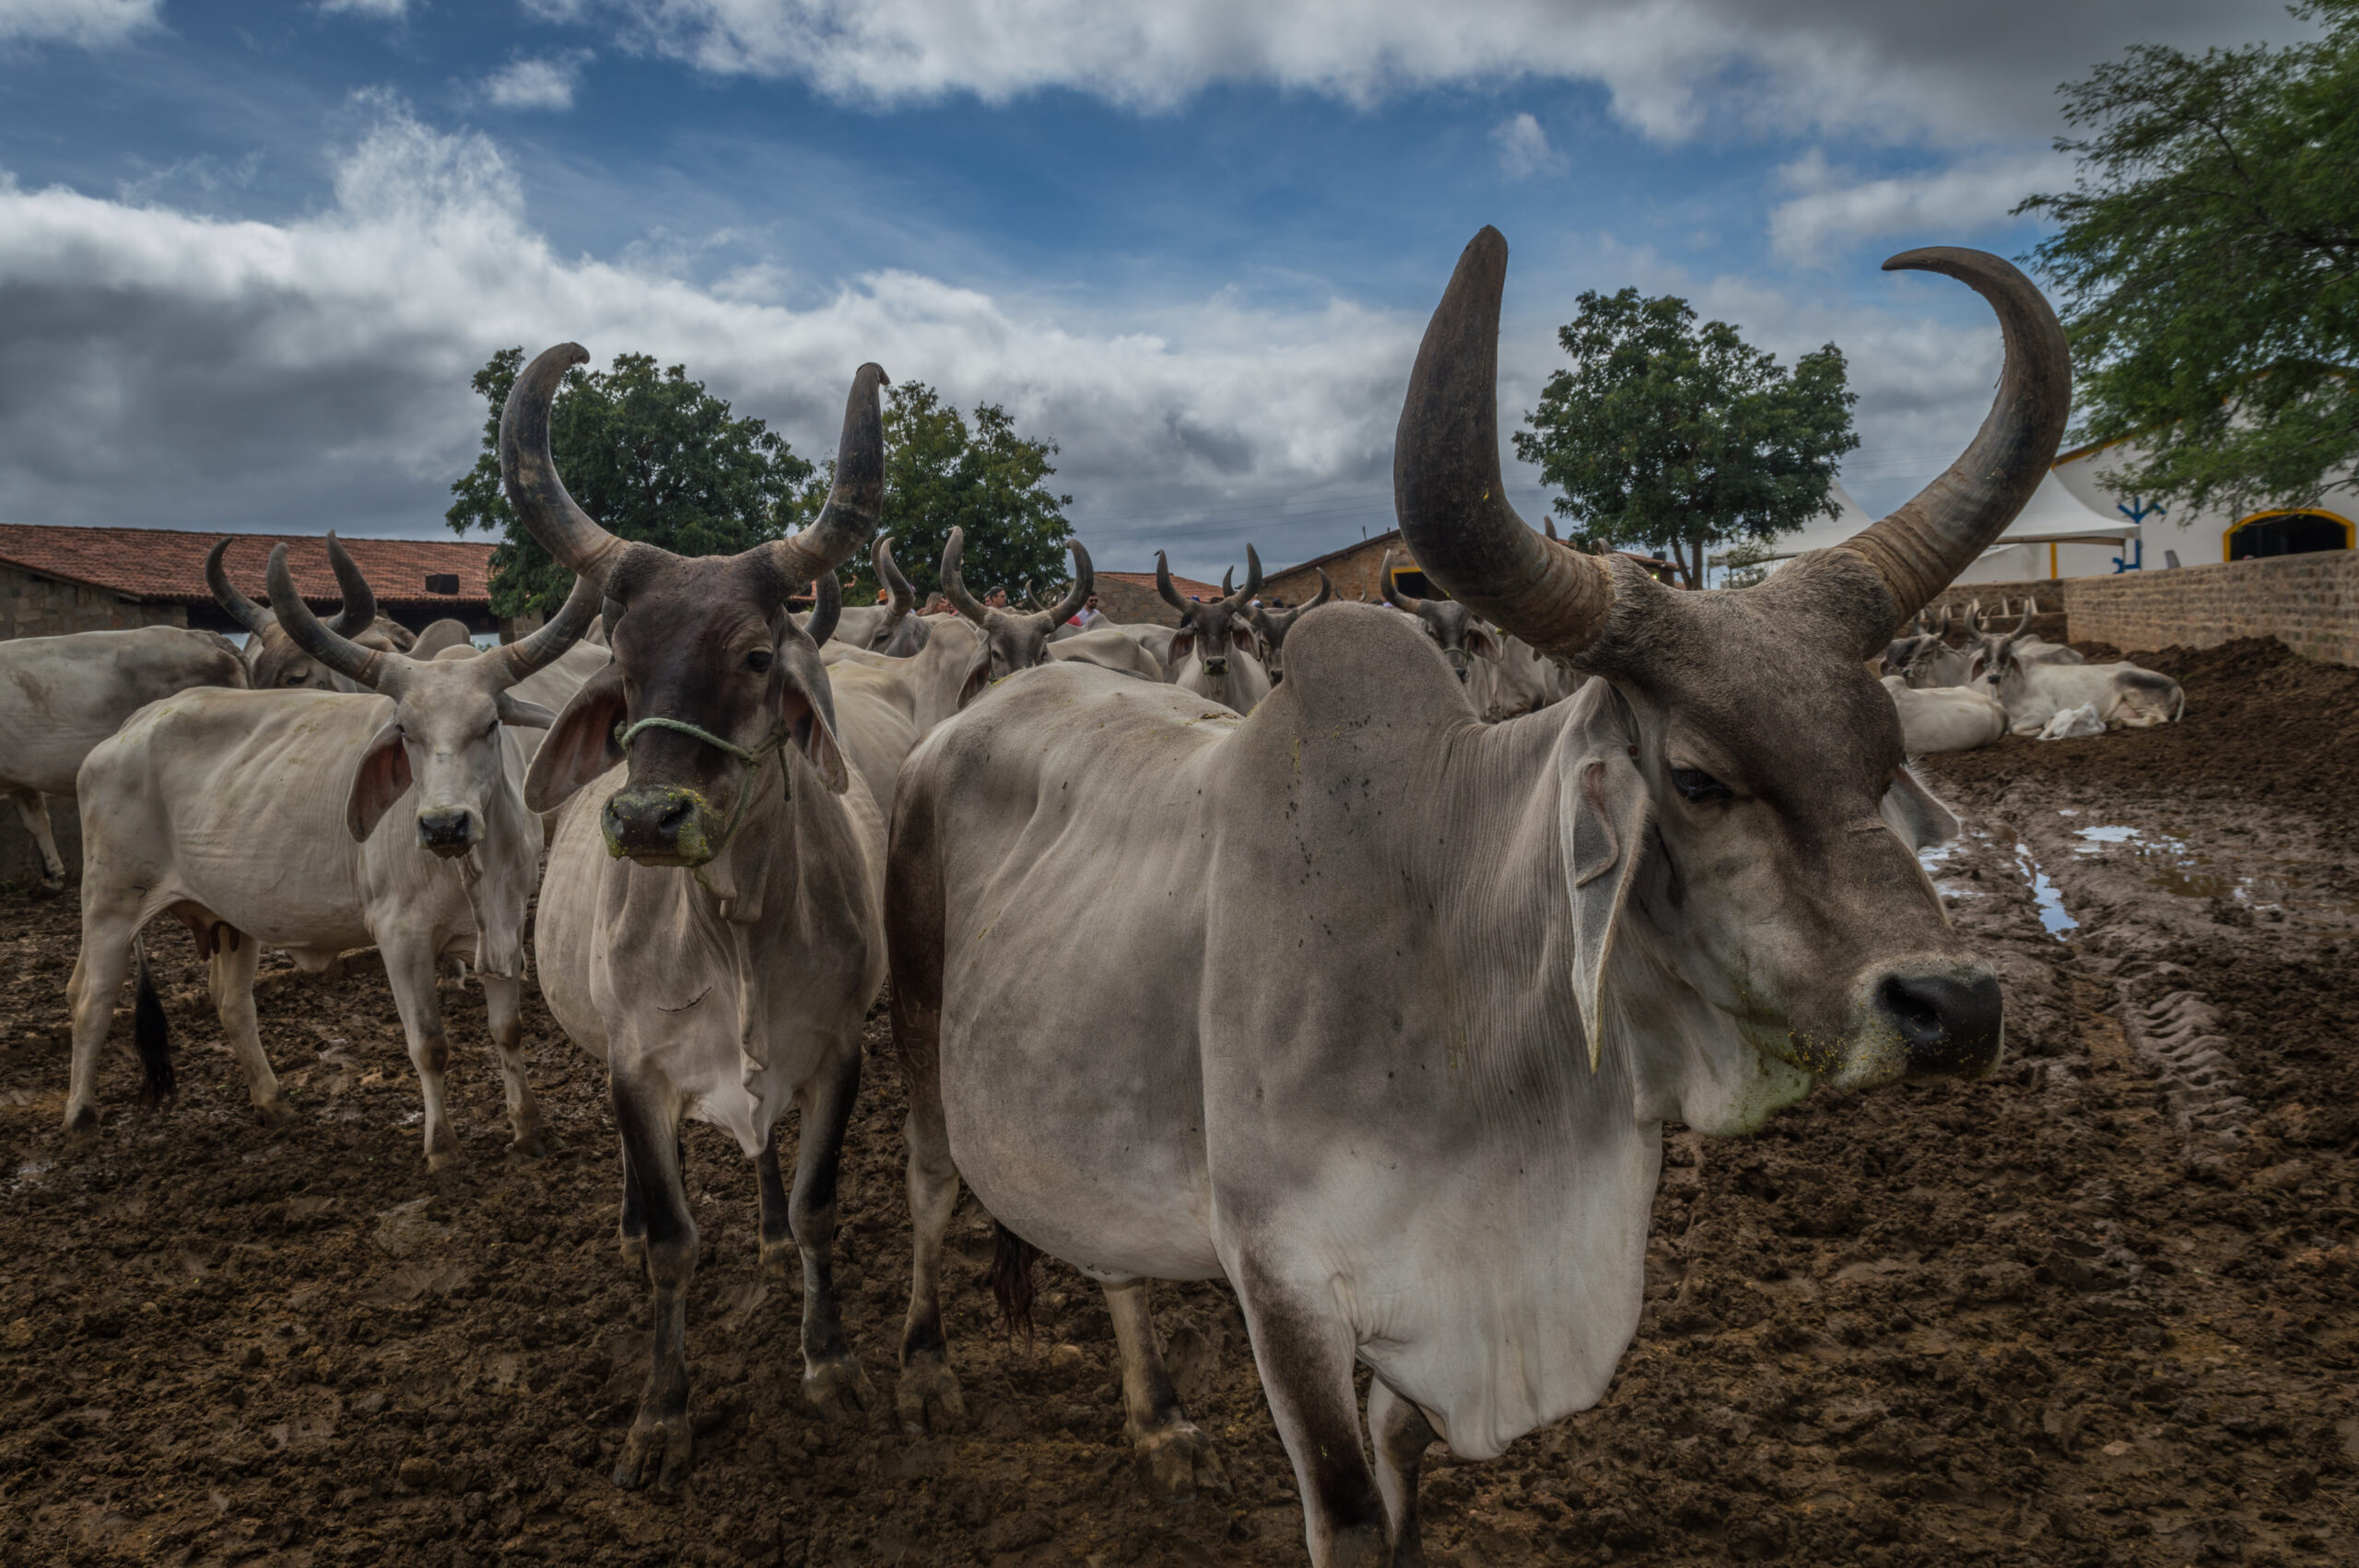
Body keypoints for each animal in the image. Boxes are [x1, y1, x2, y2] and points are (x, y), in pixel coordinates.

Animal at [71, 537, 599, 1160]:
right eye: (404, 731)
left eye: (491, 724)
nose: (444, 825)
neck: (473, 866)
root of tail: (130, 727)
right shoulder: (399, 937)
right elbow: (430, 1046)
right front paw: (442, 1149)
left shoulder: (507, 922)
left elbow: (508, 1030)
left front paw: (529, 1128)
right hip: (109, 903)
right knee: (91, 998)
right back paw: (80, 1117)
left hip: (231, 919)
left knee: (231, 1002)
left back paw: (274, 1104)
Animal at [502, 348, 896, 1490]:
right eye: (623, 666)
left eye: (758, 657)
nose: (645, 817)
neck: (736, 926)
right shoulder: (635, 1068)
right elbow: (677, 1241)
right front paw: (661, 1413)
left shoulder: (836, 1051)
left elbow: (814, 1205)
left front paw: (829, 1361)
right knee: (651, 1196)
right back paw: (632, 1226)